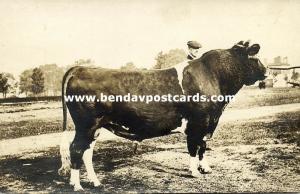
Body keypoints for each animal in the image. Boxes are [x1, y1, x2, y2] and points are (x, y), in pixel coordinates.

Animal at [57, 40, 266, 190]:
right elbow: (194, 147)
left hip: (96, 127)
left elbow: (203, 146)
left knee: (87, 152)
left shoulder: (210, 122)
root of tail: (80, 68)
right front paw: (194, 171)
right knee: (76, 149)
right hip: (86, 124)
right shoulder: (198, 122)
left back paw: (95, 182)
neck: (213, 76)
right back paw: (77, 185)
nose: (266, 72)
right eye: (255, 58)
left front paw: (205, 168)